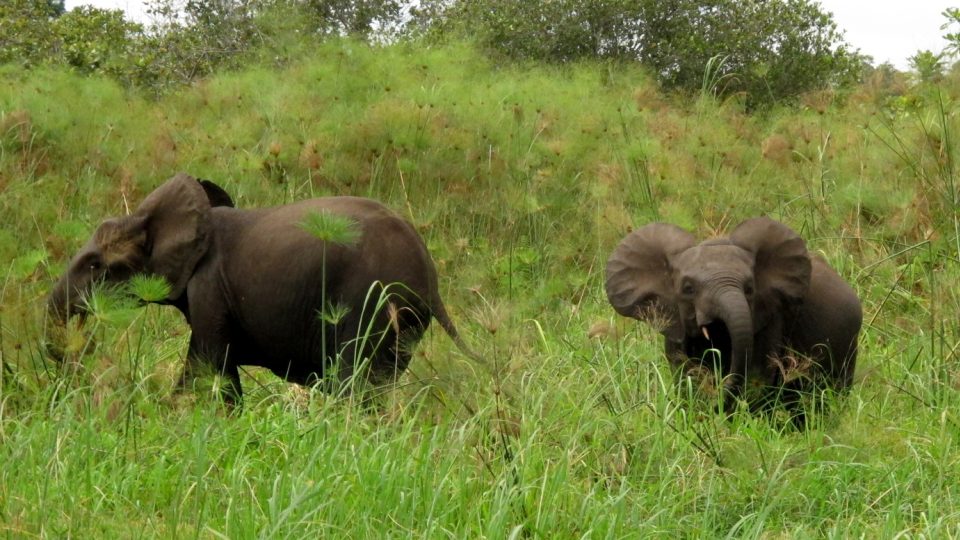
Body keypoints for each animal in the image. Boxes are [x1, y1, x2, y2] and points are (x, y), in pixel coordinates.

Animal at [48, 173, 476, 404]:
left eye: (94, 265)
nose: (77, 353)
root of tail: (429, 274)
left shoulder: (209, 285)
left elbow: (210, 365)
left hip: (373, 301)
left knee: (354, 381)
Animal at [608, 217, 864, 420]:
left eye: (749, 288)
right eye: (688, 288)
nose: (717, 406)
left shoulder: (771, 318)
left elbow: (757, 376)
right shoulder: (674, 323)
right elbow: (685, 374)